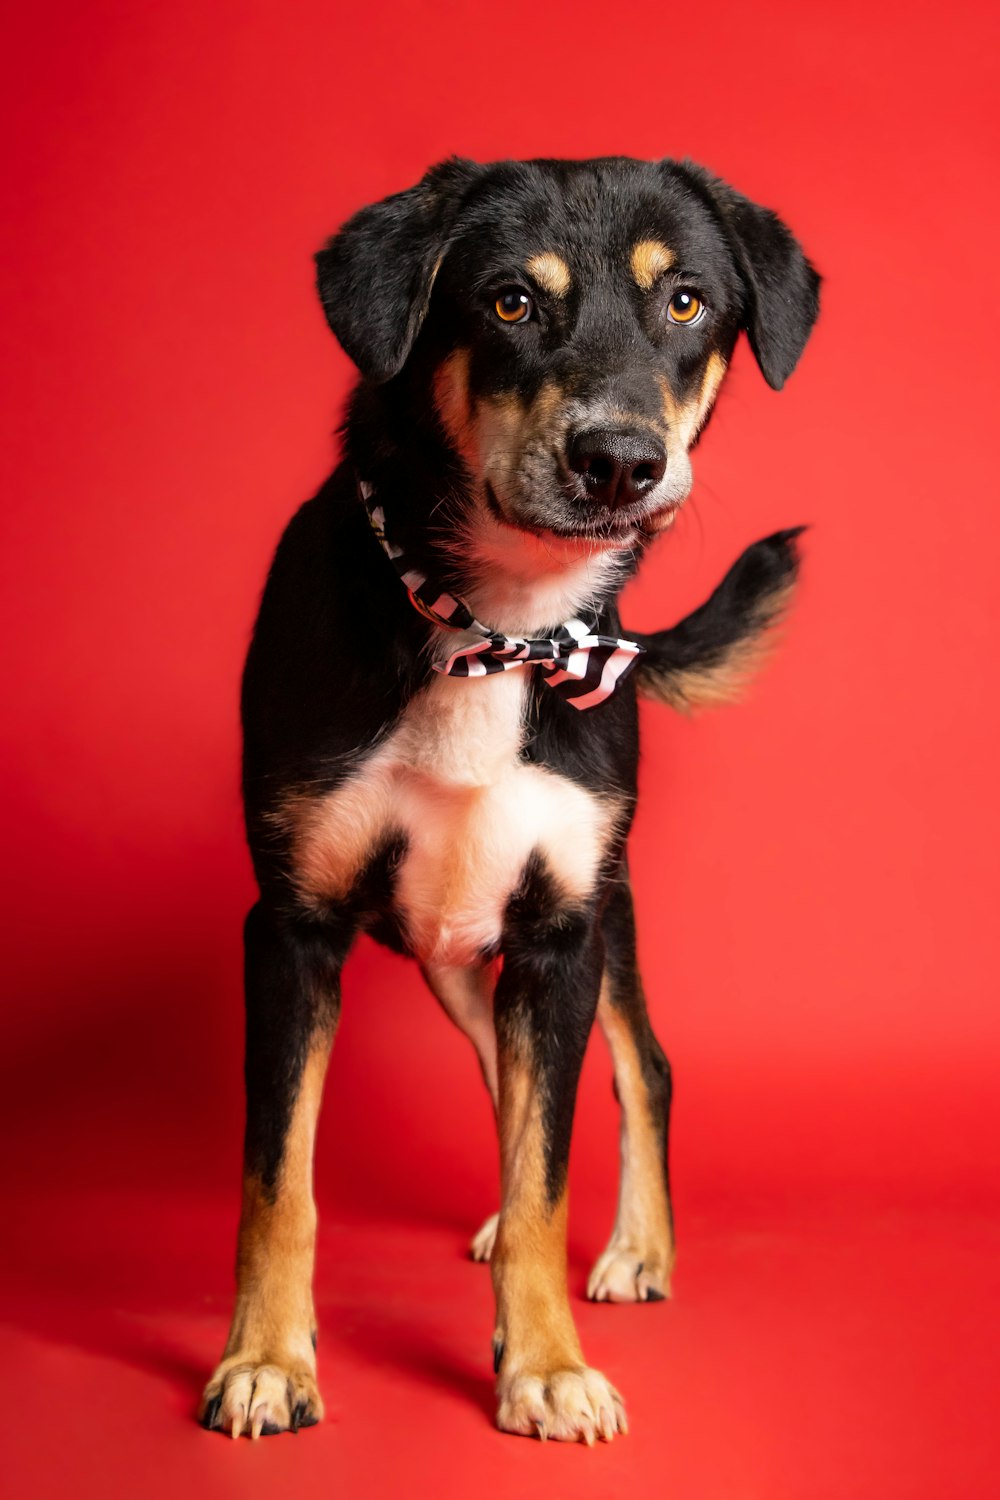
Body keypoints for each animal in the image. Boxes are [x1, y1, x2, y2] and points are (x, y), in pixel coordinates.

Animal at [199, 152, 815, 1440]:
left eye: (685, 302)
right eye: (510, 303)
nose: (618, 460)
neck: (495, 628)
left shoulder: (559, 935)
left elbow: (549, 1170)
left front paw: (544, 1365)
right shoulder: (290, 929)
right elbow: (279, 1179)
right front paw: (267, 1359)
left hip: (602, 918)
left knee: (640, 1068)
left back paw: (637, 1251)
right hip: (451, 951)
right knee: (500, 1073)